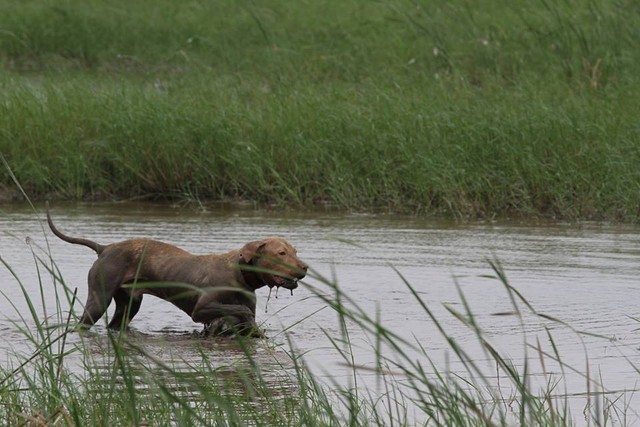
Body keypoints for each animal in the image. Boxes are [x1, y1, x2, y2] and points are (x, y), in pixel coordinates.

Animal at [45, 207, 308, 338]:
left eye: (295, 251)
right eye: (281, 253)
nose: (304, 267)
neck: (239, 275)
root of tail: (105, 247)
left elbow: (244, 315)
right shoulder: (200, 309)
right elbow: (238, 310)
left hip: (130, 303)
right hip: (99, 298)